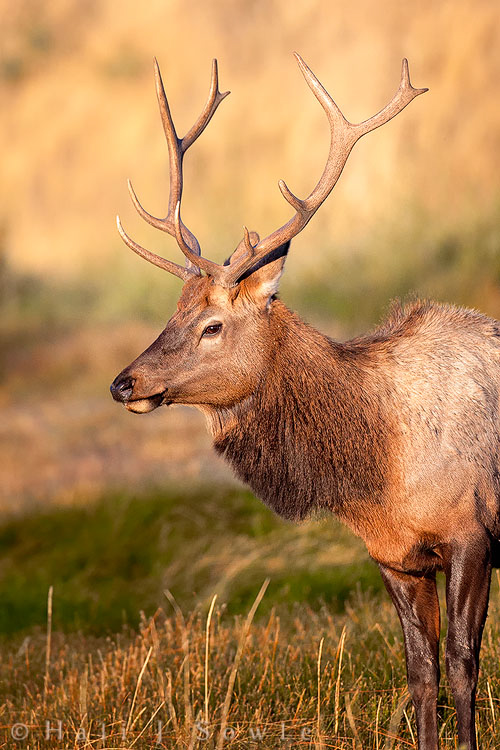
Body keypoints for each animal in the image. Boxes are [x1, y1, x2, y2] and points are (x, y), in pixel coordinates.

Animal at [110, 54, 500, 750]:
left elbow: (462, 664)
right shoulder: (394, 555)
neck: (377, 469)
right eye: (172, 313)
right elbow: (420, 670)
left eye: (212, 325)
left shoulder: (469, 532)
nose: (124, 383)